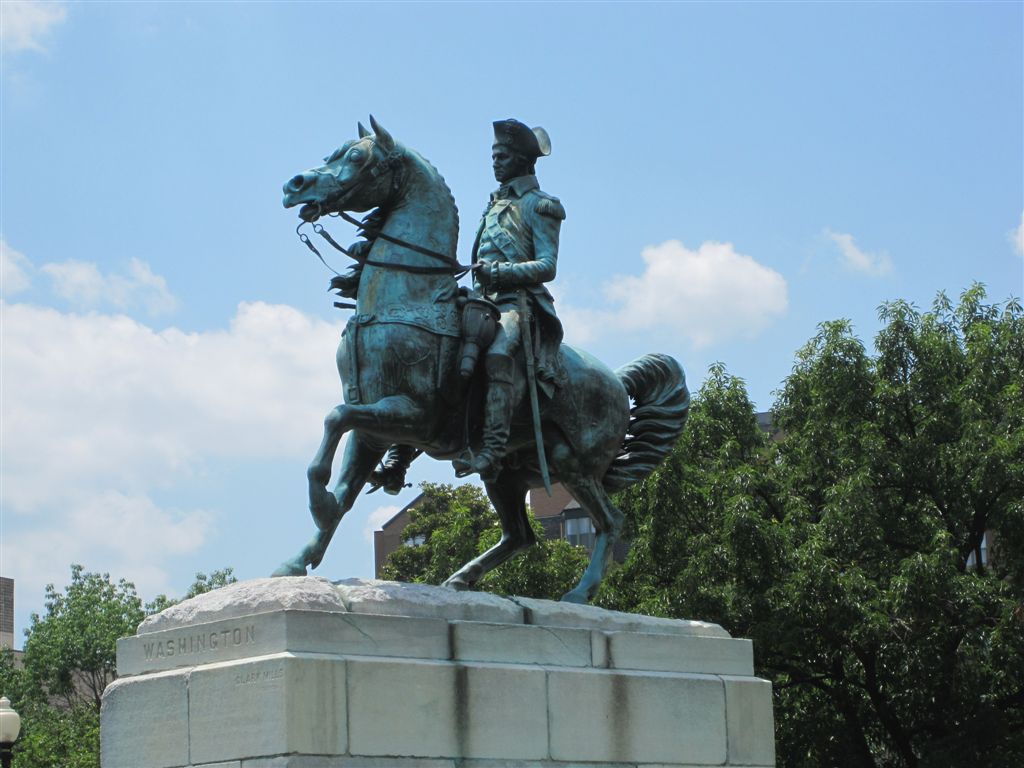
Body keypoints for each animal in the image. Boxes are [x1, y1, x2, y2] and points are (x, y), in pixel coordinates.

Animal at [274, 117, 688, 606]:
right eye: (332, 153)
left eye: (357, 158)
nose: (294, 184)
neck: (407, 300)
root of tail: (618, 383)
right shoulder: (373, 426)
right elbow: (343, 482)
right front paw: (298, 558)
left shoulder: (412, 416)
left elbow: (334, 420)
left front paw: (318, 506)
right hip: (507, 474)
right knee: (520, 536)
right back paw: (459, 579)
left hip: (570, 461)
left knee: (611, 521)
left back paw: (578, 593)